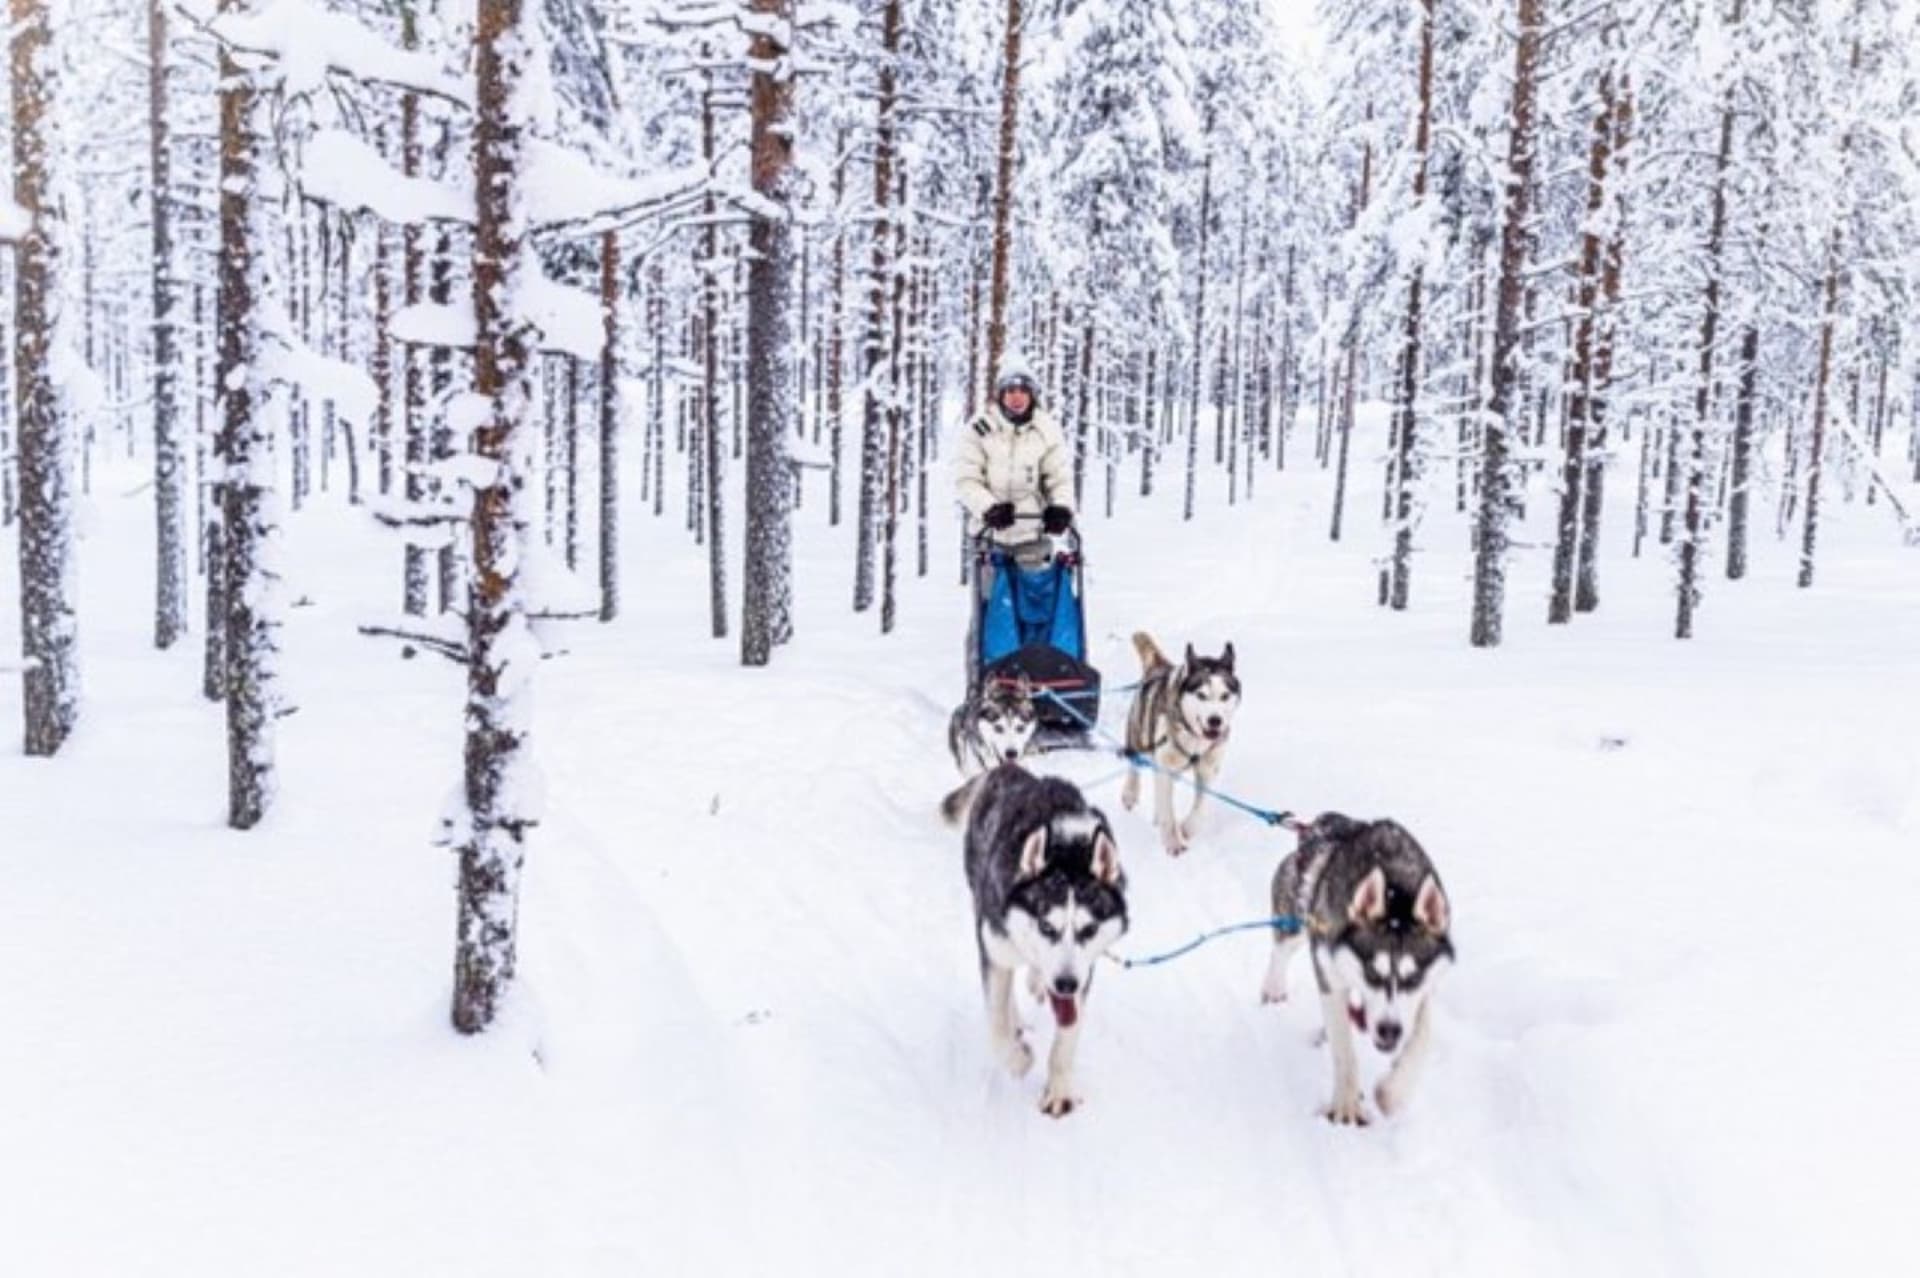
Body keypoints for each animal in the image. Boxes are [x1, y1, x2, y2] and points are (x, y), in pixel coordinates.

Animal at [940, 759, 1121, 1112]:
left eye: (1089, 929)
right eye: (1046, 926)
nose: (1065, 984)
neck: (1067, 850)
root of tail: (1006, 768)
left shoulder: (1084, 970)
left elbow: (1068, 1036)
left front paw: (1059, 1089)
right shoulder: (994, 950)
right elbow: (997, 1024)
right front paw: (1018, 1059)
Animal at [1113, 629, 1244, 852]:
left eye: (1225, 695)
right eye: (1201, 695)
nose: (1215, 720)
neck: (1194, 738)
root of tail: (1160, 665)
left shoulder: (1207, 769)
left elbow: (1199, 810)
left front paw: (1186, 829)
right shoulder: (1165, 766)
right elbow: (1168, 810)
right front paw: (1172, 842)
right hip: (1139, 736)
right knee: (1134, 765)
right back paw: (1130, 793)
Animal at [1259, 809, 1451, 1120]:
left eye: (1412, 979)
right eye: (1372, 972)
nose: (1389, 1030)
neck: (1395, 893)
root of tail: (1316, 825)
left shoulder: (1424, 990)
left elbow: (1423, 1036)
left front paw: (1393, 1092)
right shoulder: (1329, 976)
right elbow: (1344, 1051)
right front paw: (1346, 1107)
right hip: (1297, 923)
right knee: (1281, 949)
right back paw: (1273, 988)